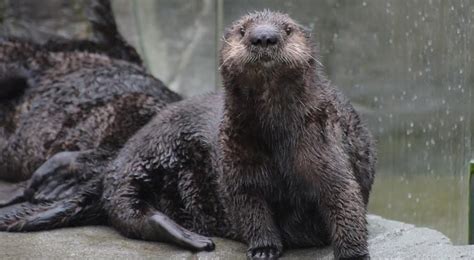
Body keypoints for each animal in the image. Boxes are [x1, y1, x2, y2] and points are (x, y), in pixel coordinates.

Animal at [0, 10, 378, 260]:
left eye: (286, 30)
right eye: (243, 30)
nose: (264, 37)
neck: (275, 142)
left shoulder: (325, 148)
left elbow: (343, 197)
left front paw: (353, 253)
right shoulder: (237, 162)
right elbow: (249, 205)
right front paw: (264, 247)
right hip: (143, 157)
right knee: (126, 207)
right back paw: (192, 238)